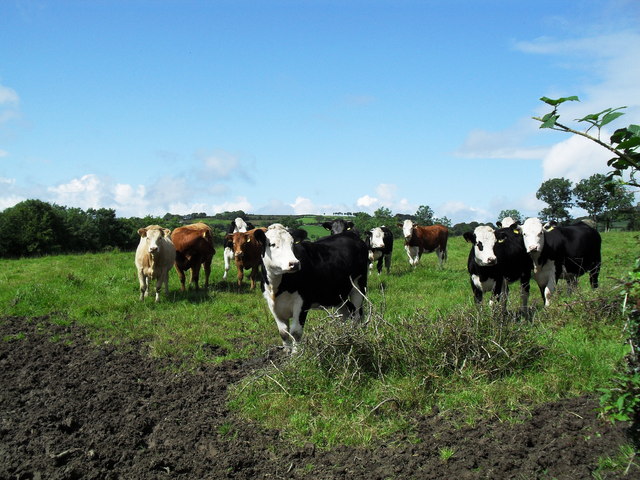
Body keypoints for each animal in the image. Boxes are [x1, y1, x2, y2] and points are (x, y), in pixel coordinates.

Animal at [252, 222, 368, 352]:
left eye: (292, 244)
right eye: (272, 244)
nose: (294, 263)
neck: (277, 288)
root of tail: (350, 234)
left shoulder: (302, 301)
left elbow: (295, 332)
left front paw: (296, 354)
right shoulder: (272, 304)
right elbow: (283, 332)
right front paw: (286, 352)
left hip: (358, 286)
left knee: (357, 314)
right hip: (339, 295)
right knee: (345, 315)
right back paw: (344, 336)